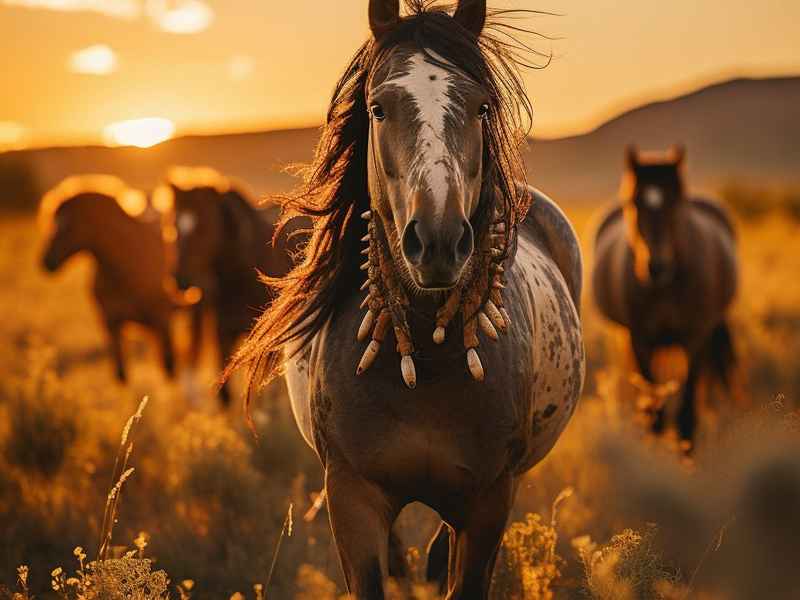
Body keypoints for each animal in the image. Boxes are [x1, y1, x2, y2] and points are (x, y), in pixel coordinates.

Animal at [39, 175, 196, 382]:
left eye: (68, 225)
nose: (46, 261)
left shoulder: (162, 321)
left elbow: (169, 370)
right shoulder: (112, 325)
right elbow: (121, 374)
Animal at [229, 2, 584, 597]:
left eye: (482, 105)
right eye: (378, 108)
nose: (438, 240)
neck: (426, 354)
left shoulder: (488, 505)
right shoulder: (351, 498)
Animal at [592, 145, 738, 446]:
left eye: (675, 201)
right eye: (633, 202)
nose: (655, 266)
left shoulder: (695, 339)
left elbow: (686, 416)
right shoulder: (640, 341)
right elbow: (655, 416)